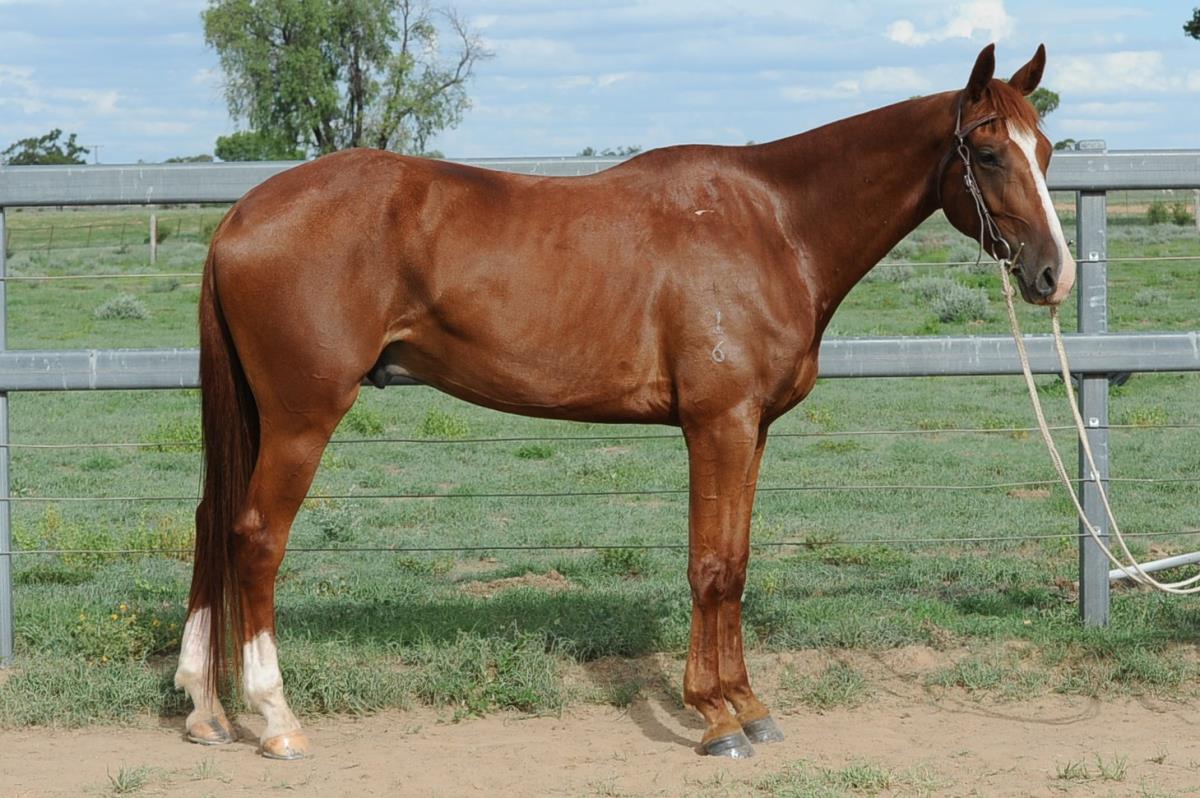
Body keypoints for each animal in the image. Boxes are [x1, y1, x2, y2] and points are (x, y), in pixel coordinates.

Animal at [174, 43, 1075, 760]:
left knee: (212, 523)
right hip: (302, 419)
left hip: (260, 418)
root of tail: (243, 214)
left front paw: (748, 703)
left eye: (1047, 149)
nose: (1051, 275)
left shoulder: (752, 431)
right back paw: (277, 720)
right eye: (988, 153)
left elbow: (736, 563)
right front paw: (715, 720)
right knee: (255, 539)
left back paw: (205, 709)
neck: (774, 225)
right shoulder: (716, 426)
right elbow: (710, 567)